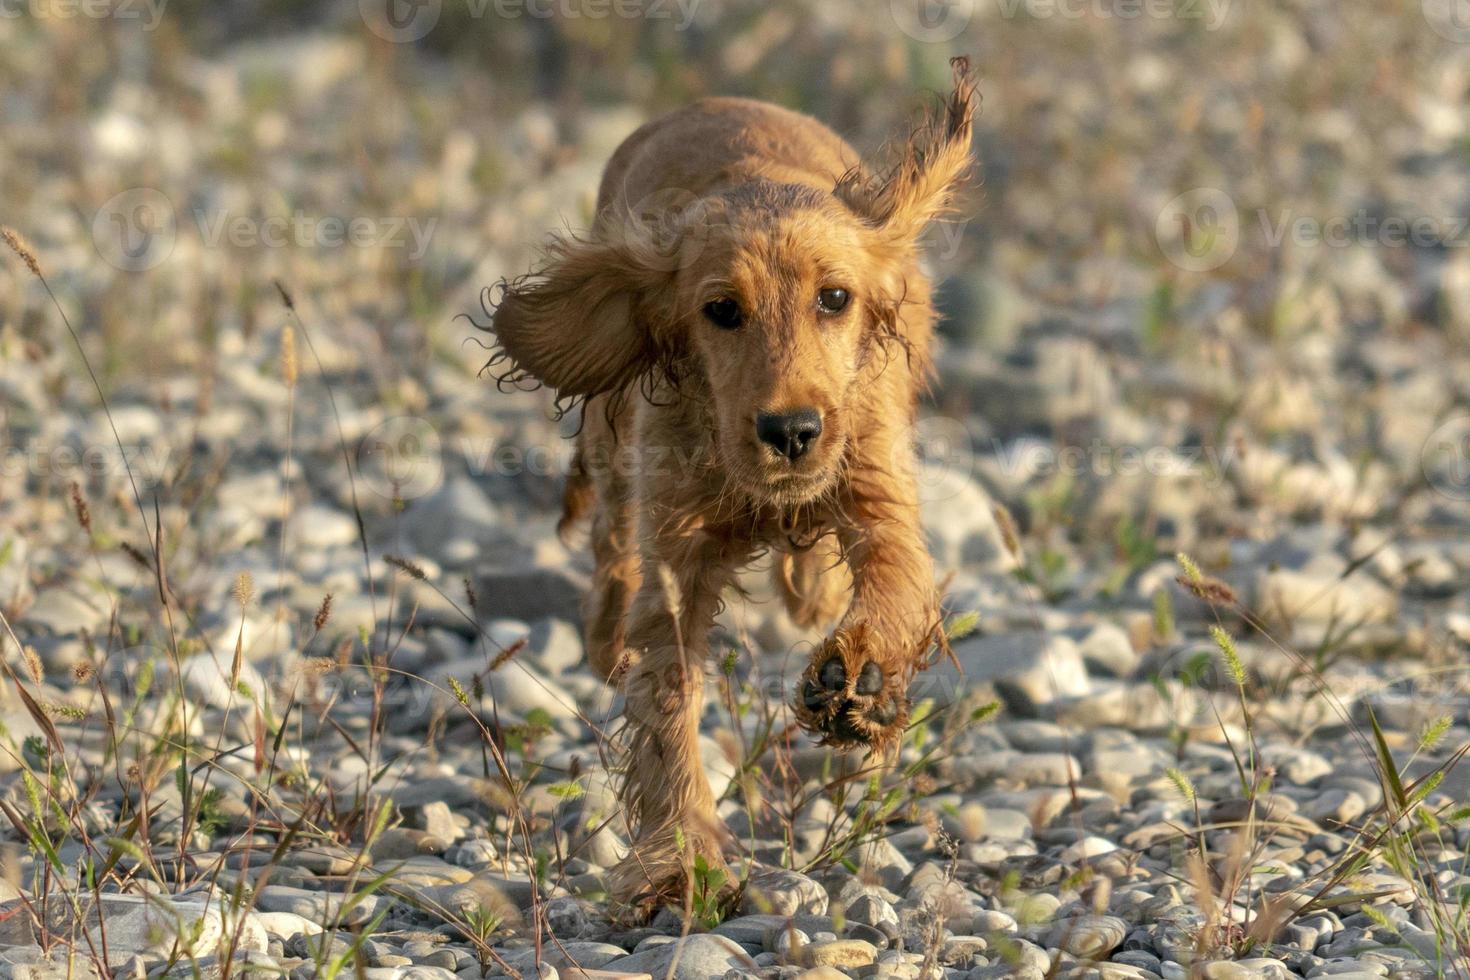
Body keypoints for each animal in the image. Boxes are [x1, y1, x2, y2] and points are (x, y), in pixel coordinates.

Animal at [488, 59, 981, 905]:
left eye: (835, 297)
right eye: (721, 310)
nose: (791, 432)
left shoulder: (879, 485)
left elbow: (893, 579)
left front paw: (859, 679)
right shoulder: (676, 556)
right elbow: (668, 705)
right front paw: (681, 861)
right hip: (613, 445)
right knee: (611, 547)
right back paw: (604, 637)